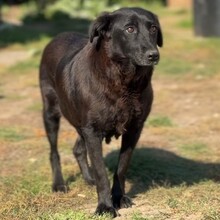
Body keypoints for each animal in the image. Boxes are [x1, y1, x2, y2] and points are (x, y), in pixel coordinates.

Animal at [39, 7, 162, 218]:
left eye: (153, 28)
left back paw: (88, 179)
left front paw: (119, 198)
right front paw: (105, 206)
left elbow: (121, 167)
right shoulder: (92, 131)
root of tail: (57, 37)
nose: (153, 55)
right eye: (129, 29)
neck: (125, 82)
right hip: (51, 113)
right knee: (54, 152)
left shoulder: (134, 129)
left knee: (78, 149)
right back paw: (59, 184)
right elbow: (101, 172)